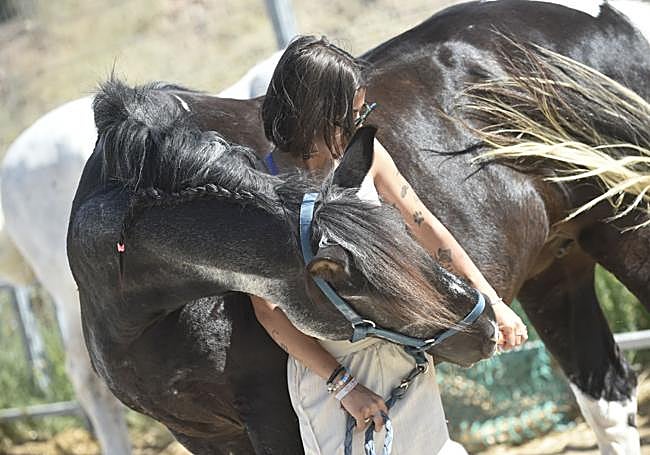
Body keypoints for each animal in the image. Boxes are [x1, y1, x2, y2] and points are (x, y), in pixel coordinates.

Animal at [67, 0, 650, 453]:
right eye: (359, 286)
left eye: (409, 235)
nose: (484, 329)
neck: (137, 312)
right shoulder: (204, 436)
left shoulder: (273, 412)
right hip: (557, 269)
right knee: (608, 395)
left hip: (627, 231)